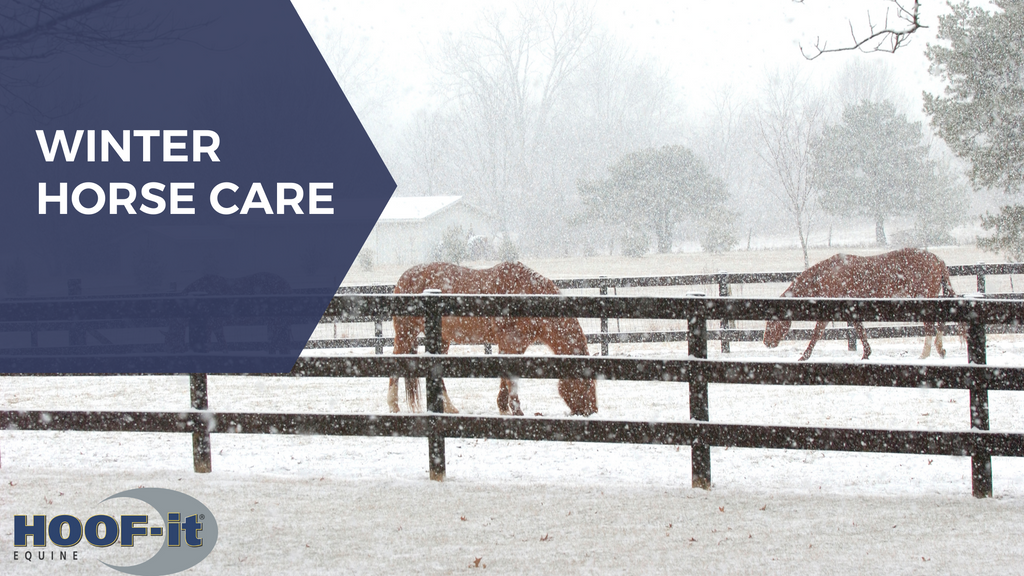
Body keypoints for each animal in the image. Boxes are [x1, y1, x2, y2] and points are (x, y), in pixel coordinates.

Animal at [388, 261, 598, 417]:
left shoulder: (516, 345)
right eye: (587, 383)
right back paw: (393, 406)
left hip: (441, 340)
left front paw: (504, 407)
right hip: (406, 334)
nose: (593, 411)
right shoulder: (510, 341)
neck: (527, 295)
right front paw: (516, 410)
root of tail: (404, 278)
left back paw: (449, 408)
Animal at [763, 248, 956, 361]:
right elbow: (859, 329)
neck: (826, 274)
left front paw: (804, 356)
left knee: (930, 325)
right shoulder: (850, 309)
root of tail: (937, 259)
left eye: (772, 321)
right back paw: (940, 350)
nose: (766, 342)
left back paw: (925, 355)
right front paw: (866, 353)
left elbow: (817, 333)